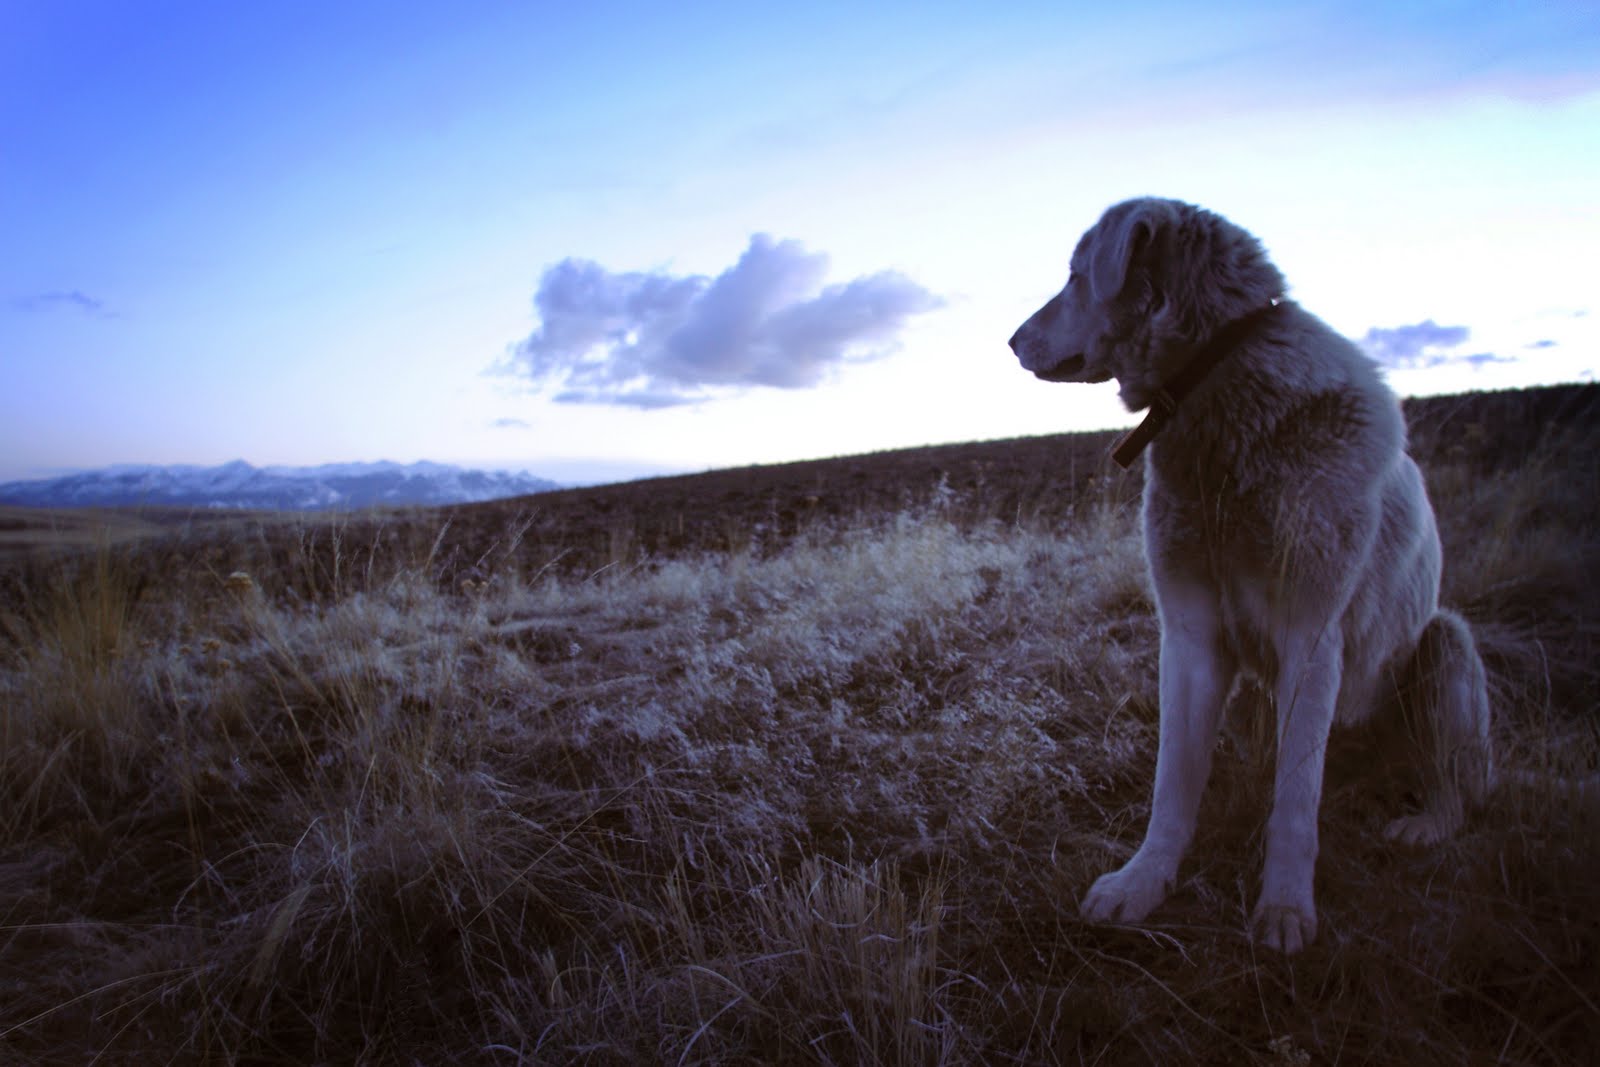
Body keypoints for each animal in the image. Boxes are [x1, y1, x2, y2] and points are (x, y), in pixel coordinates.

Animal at [1011, 195, 1484, 953]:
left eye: (1078, 276)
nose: (1012, 341)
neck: (1218, 389)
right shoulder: (1190, 636)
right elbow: (1174, 781)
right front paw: (1144, 881)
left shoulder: (1312, 637)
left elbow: (1294, 799)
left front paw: (1285, 909)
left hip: (1445, 648)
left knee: (1456, 783)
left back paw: (1425, 822)